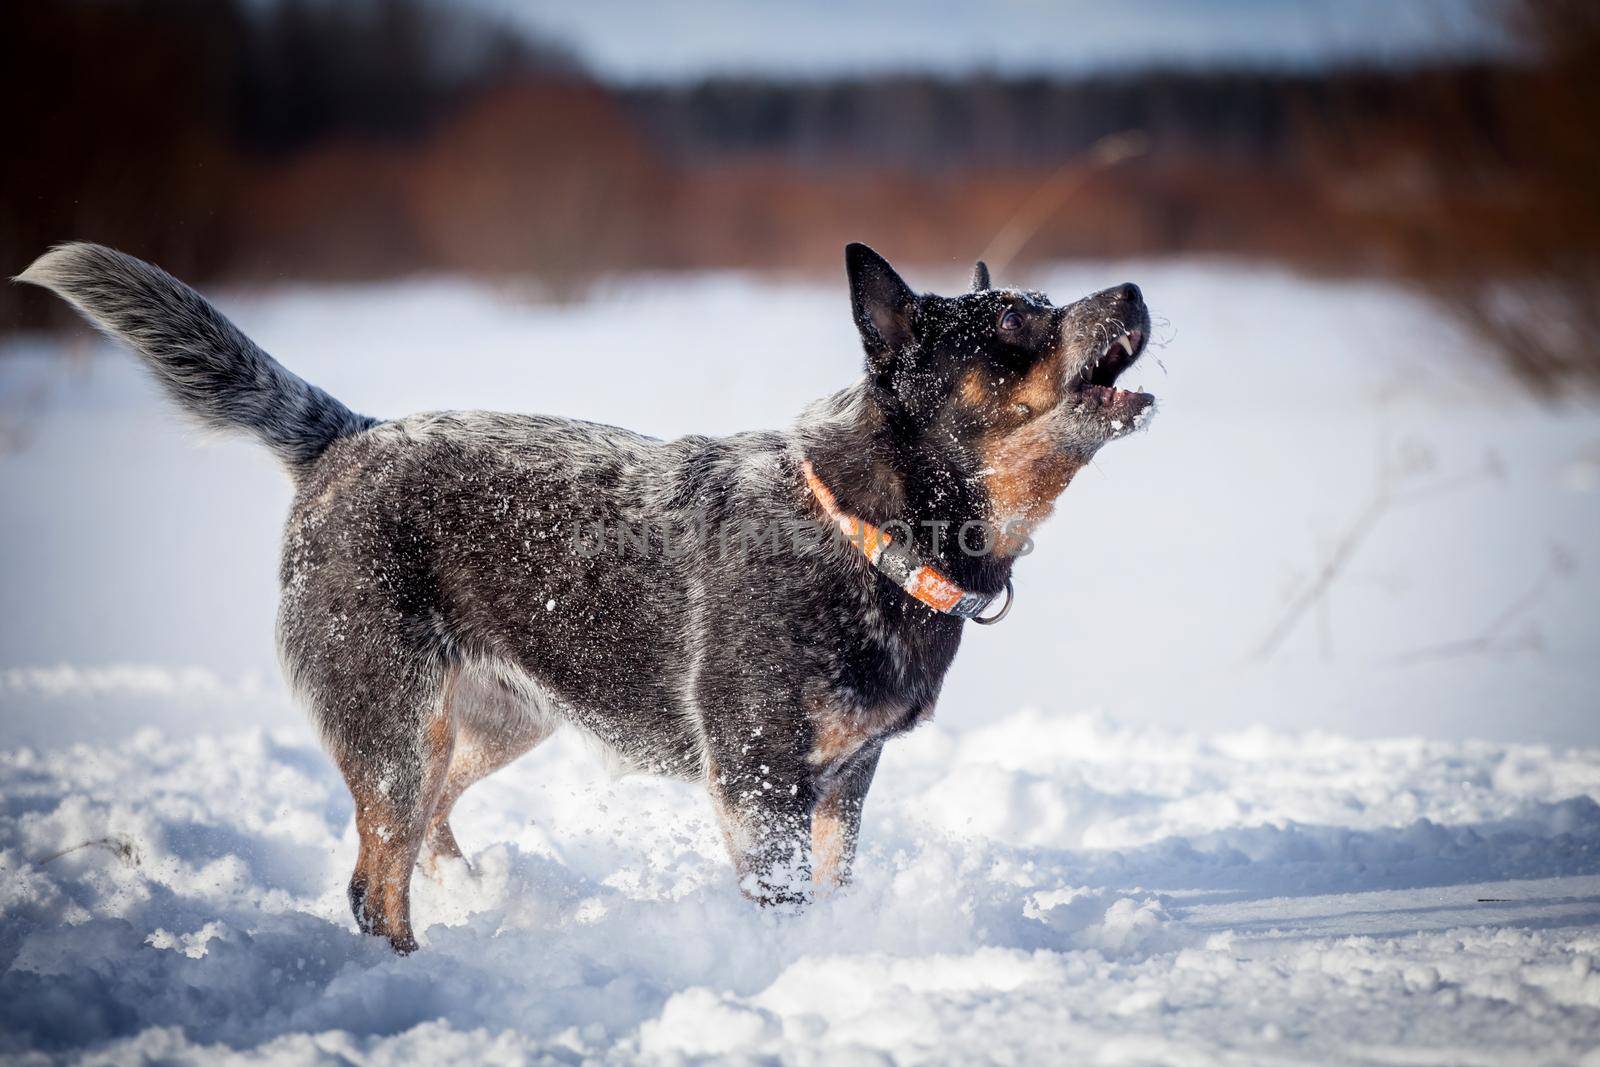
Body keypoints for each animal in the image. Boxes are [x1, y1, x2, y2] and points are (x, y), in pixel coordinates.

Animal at [18, 241, 1158, 953]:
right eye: (1012, 320)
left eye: (1046, 299)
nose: (1136, 291)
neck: (865, 530)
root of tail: (346, 435)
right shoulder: (759, 775)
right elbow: (781, 897)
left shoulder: (850, 774)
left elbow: (836, 883)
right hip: (389, 718)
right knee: (374, 877)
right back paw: (414, 969)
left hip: (494, 720)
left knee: (421, 830)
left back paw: (470, 896)